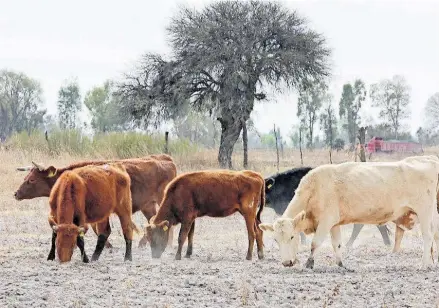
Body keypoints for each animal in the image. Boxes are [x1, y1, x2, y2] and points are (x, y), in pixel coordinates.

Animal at [14, 155, 178, 249]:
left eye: (31, 180)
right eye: (25, 177)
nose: (16, 193)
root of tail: (166, 159)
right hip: (148, 205)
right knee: (154, 220)